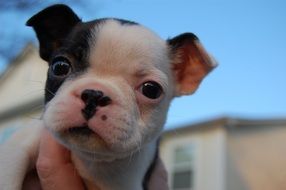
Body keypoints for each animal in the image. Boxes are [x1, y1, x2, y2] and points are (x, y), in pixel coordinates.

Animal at [0, 4, 216, 190]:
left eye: (151, 90)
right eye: (59, 66)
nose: (94, 95)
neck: (90, 159)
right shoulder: (22, 142)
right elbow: (9, 170)